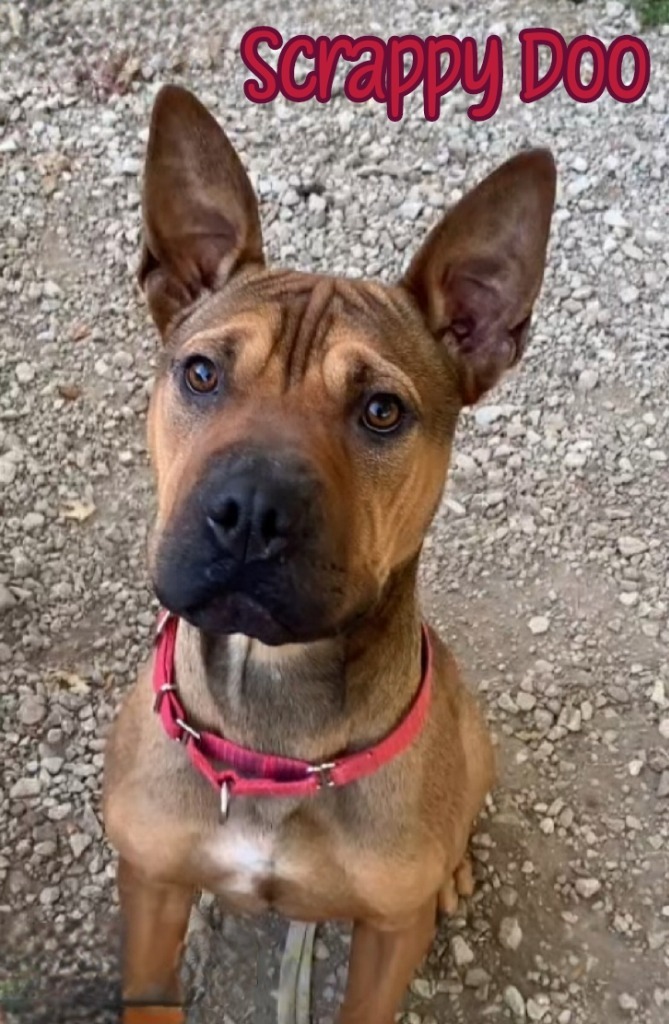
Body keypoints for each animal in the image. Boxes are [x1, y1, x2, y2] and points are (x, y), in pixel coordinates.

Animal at [101, 83, 557, 1019]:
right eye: (200, 373)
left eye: (381, 410)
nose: (248, 513)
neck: (273, 731)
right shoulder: (151, 892)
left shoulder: (388, 937)